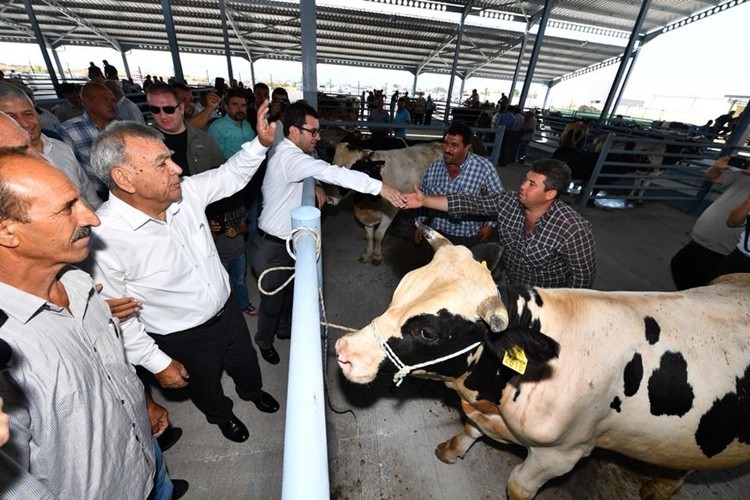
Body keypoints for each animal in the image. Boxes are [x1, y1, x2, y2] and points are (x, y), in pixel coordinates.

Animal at [338, 227, 750, 500]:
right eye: (400, 290)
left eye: (427, 332)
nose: (345, 349)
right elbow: (470, 430)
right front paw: (451, 450)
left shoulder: (561, 454)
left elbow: (518, 487)